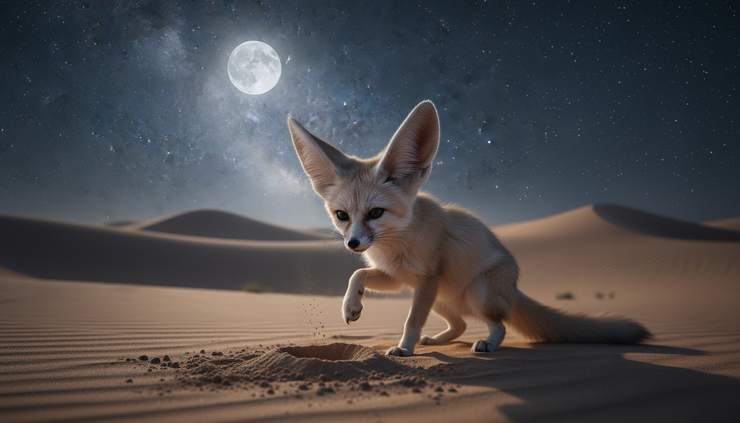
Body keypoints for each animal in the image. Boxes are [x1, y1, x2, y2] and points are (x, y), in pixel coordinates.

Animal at [288, 100, 651, 357]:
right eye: (341, 215)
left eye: (376, 212)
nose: (352, 244)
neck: (396, 243)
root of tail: (514, 289)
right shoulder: (400, 279)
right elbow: (357, 274)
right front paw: (352, 305)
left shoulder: (426, 278)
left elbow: (411, 319)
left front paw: (404, 348)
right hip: (442, 298)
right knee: (462, 325)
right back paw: (439, 340)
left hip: (474, 292)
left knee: (498, 325)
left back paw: (487, 344)